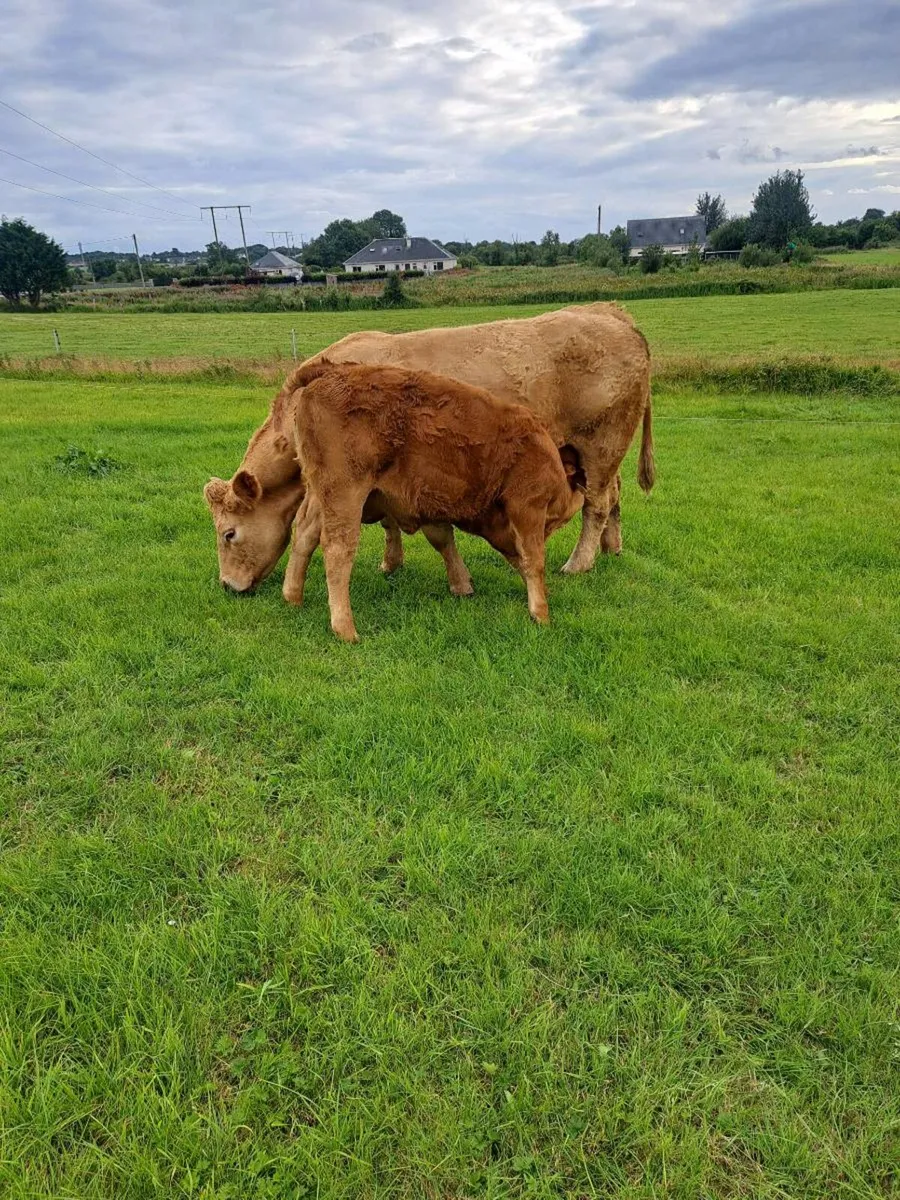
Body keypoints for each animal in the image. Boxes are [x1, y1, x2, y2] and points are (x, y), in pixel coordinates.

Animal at [203, 304, 653, 593]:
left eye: (229, 533)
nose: (228, 586)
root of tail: (612, 315)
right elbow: (388, 522)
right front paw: (391, 563)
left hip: (602, 443)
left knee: (596, 504)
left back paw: (579, 563)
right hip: (592, 453)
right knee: (613, 496)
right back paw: (611, 549)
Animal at [281, 361, 587, 641]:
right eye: (555, 521)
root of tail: (329, 371)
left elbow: (508, 554)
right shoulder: (528, 506)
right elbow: (533, 559)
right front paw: (541, 614)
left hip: (321, 495)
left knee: (305, 534)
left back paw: (292, 597)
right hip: (345, 494)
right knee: (337, 548)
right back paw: (345, 628)